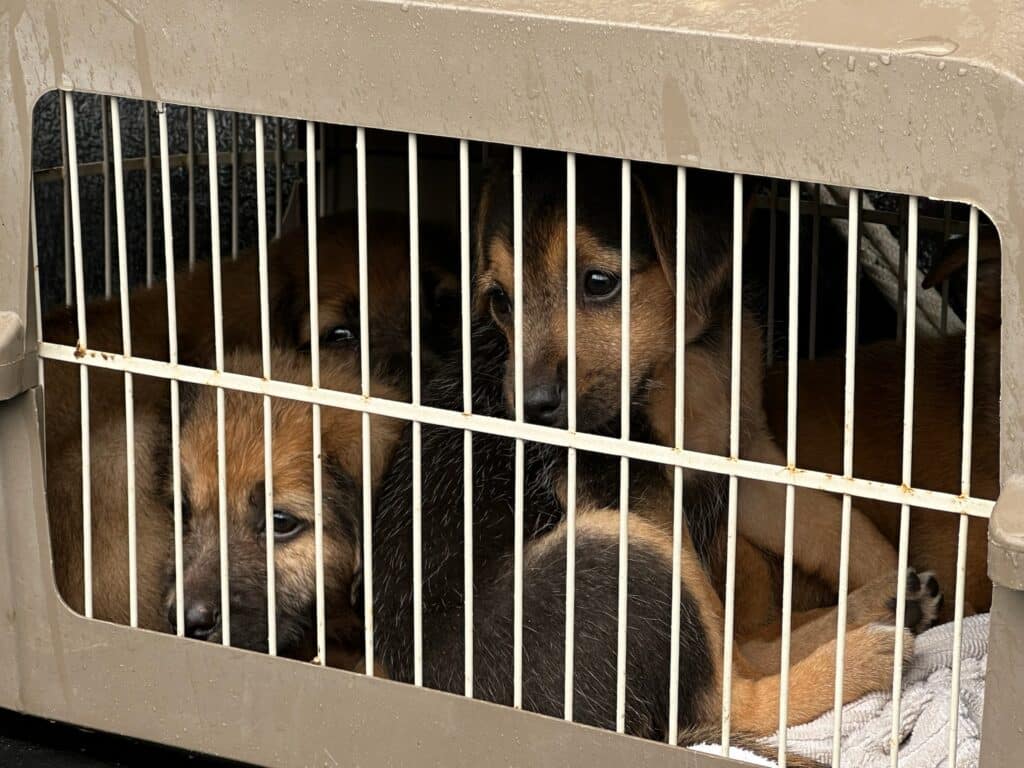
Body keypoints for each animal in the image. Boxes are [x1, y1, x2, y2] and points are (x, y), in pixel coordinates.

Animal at [471, 150, 897, 630]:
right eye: (501, 301)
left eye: (599, 282)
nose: (529, 407)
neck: (682, 362)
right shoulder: (626, 486)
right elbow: (708, 607)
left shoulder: (743, 458)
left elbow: (838, 526)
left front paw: (907, 579)